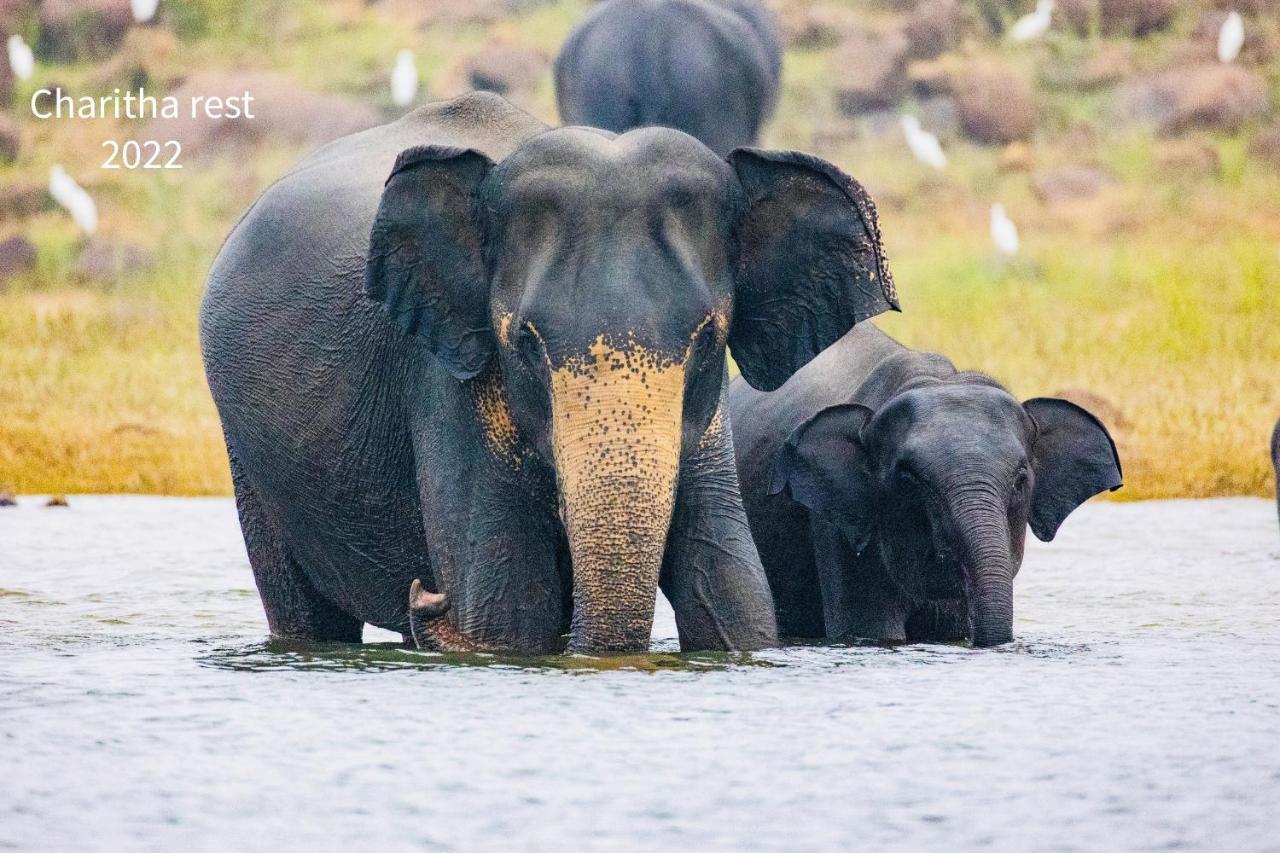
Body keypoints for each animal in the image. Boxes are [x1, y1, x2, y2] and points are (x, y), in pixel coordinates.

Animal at [202, 91, 901, 650]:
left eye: (709, 340)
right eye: (526, 344)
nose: (426, 593)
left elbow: (728, 582)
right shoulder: (443, 379)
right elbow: (506, 606)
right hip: (246, 454)